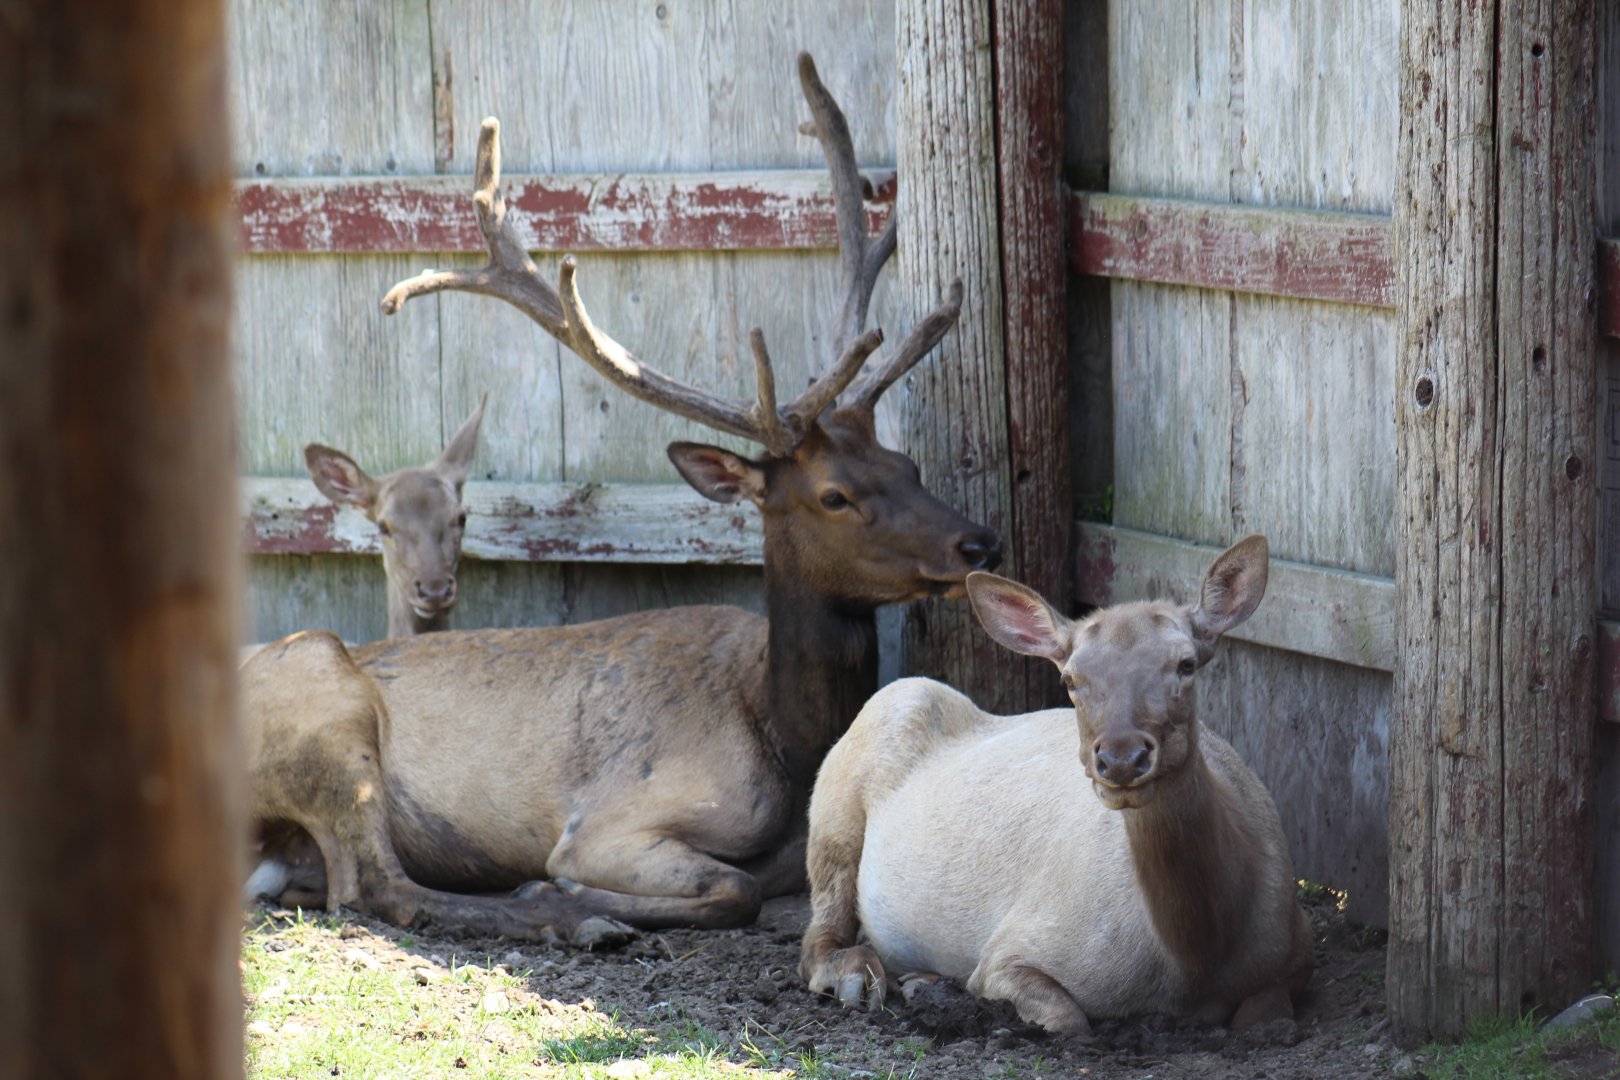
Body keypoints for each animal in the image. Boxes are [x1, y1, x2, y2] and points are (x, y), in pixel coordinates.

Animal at [799, 536, 1314, 1034]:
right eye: (1070, 679)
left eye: (1186, 664)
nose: (1121, 758)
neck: (1194, 960)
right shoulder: (1009, 950)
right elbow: (1069, 1021)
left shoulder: (1294, 951)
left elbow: (1264, 1015)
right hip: (834, 802)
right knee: (818, 929)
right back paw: (858, 977)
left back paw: (919, 979)